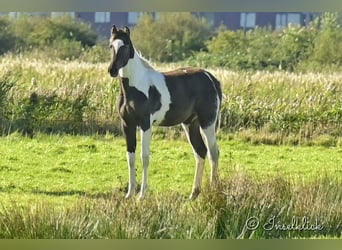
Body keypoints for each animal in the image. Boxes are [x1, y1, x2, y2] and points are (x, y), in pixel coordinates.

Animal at [108, 25, 223, 200]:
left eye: (125, 45)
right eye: (111, 46)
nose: (112, 70)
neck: (135, 87)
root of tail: (211, 78)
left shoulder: (145, 125)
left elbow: (144, 157)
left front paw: (142, 195)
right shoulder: (127, 125)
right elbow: (131, 157)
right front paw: (129, 194)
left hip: (207, 123)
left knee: (213, 153)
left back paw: (213, 191)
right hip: (190, 124)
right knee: (201, 152)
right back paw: (193, 194)